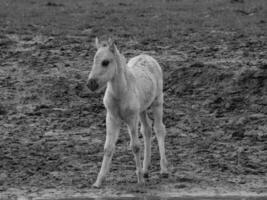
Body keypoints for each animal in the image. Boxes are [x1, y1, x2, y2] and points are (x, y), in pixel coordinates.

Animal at [87, 38, 169, 188]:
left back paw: (164, 170)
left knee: (159, 129)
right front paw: (98, 181)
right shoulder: (112, 118)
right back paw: (145, 170)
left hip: (157, 102)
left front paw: (140, 180)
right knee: (147, 130)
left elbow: (135, 146)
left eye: (105, 62)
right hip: (141, 110)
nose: (91, 84)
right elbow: (108, 147)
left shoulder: (131, 118)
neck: (120, 93)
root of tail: (146, 56)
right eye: (94, 60)